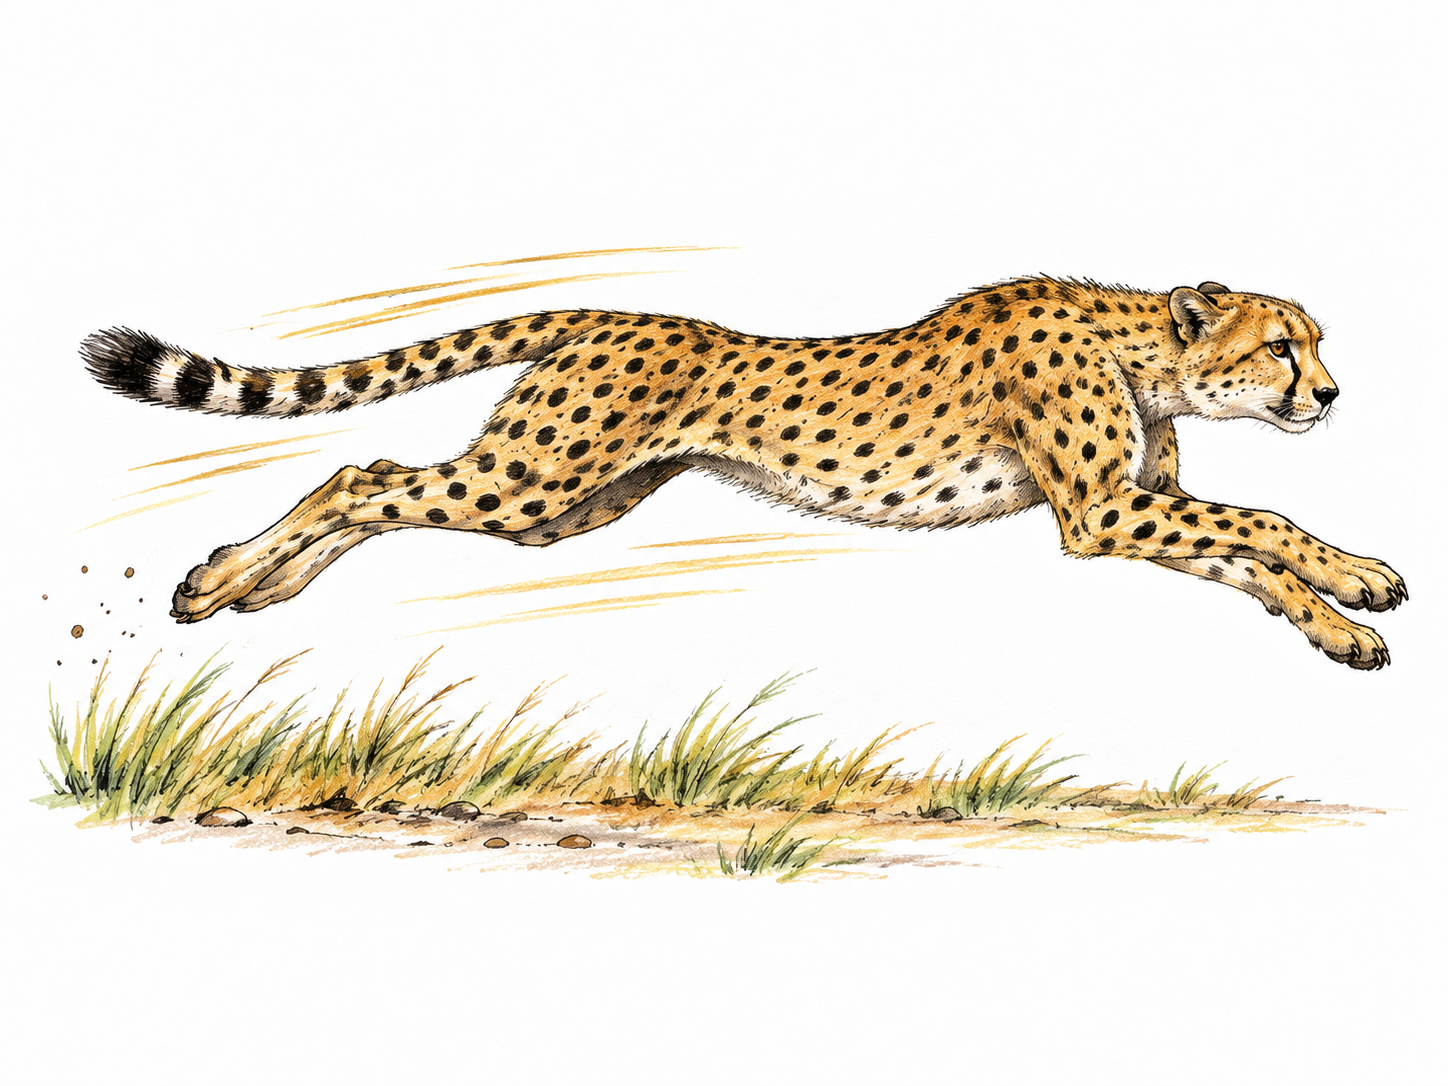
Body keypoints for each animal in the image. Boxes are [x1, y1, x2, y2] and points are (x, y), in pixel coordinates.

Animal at [81, 276, 1406, 668]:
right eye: (1282, 348)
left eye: (1315, 343)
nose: (1331, 396)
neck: (1144, 349)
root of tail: (612, 312)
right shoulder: (1101, 512)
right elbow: (1265, 517)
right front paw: (1362, 580)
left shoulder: (1142, 507)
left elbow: (1247, 554)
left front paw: (1344, 617)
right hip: (532, 479)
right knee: (362, 473)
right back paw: (223, 582)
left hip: (561, 506)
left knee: (377, 481)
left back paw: (248, 584)